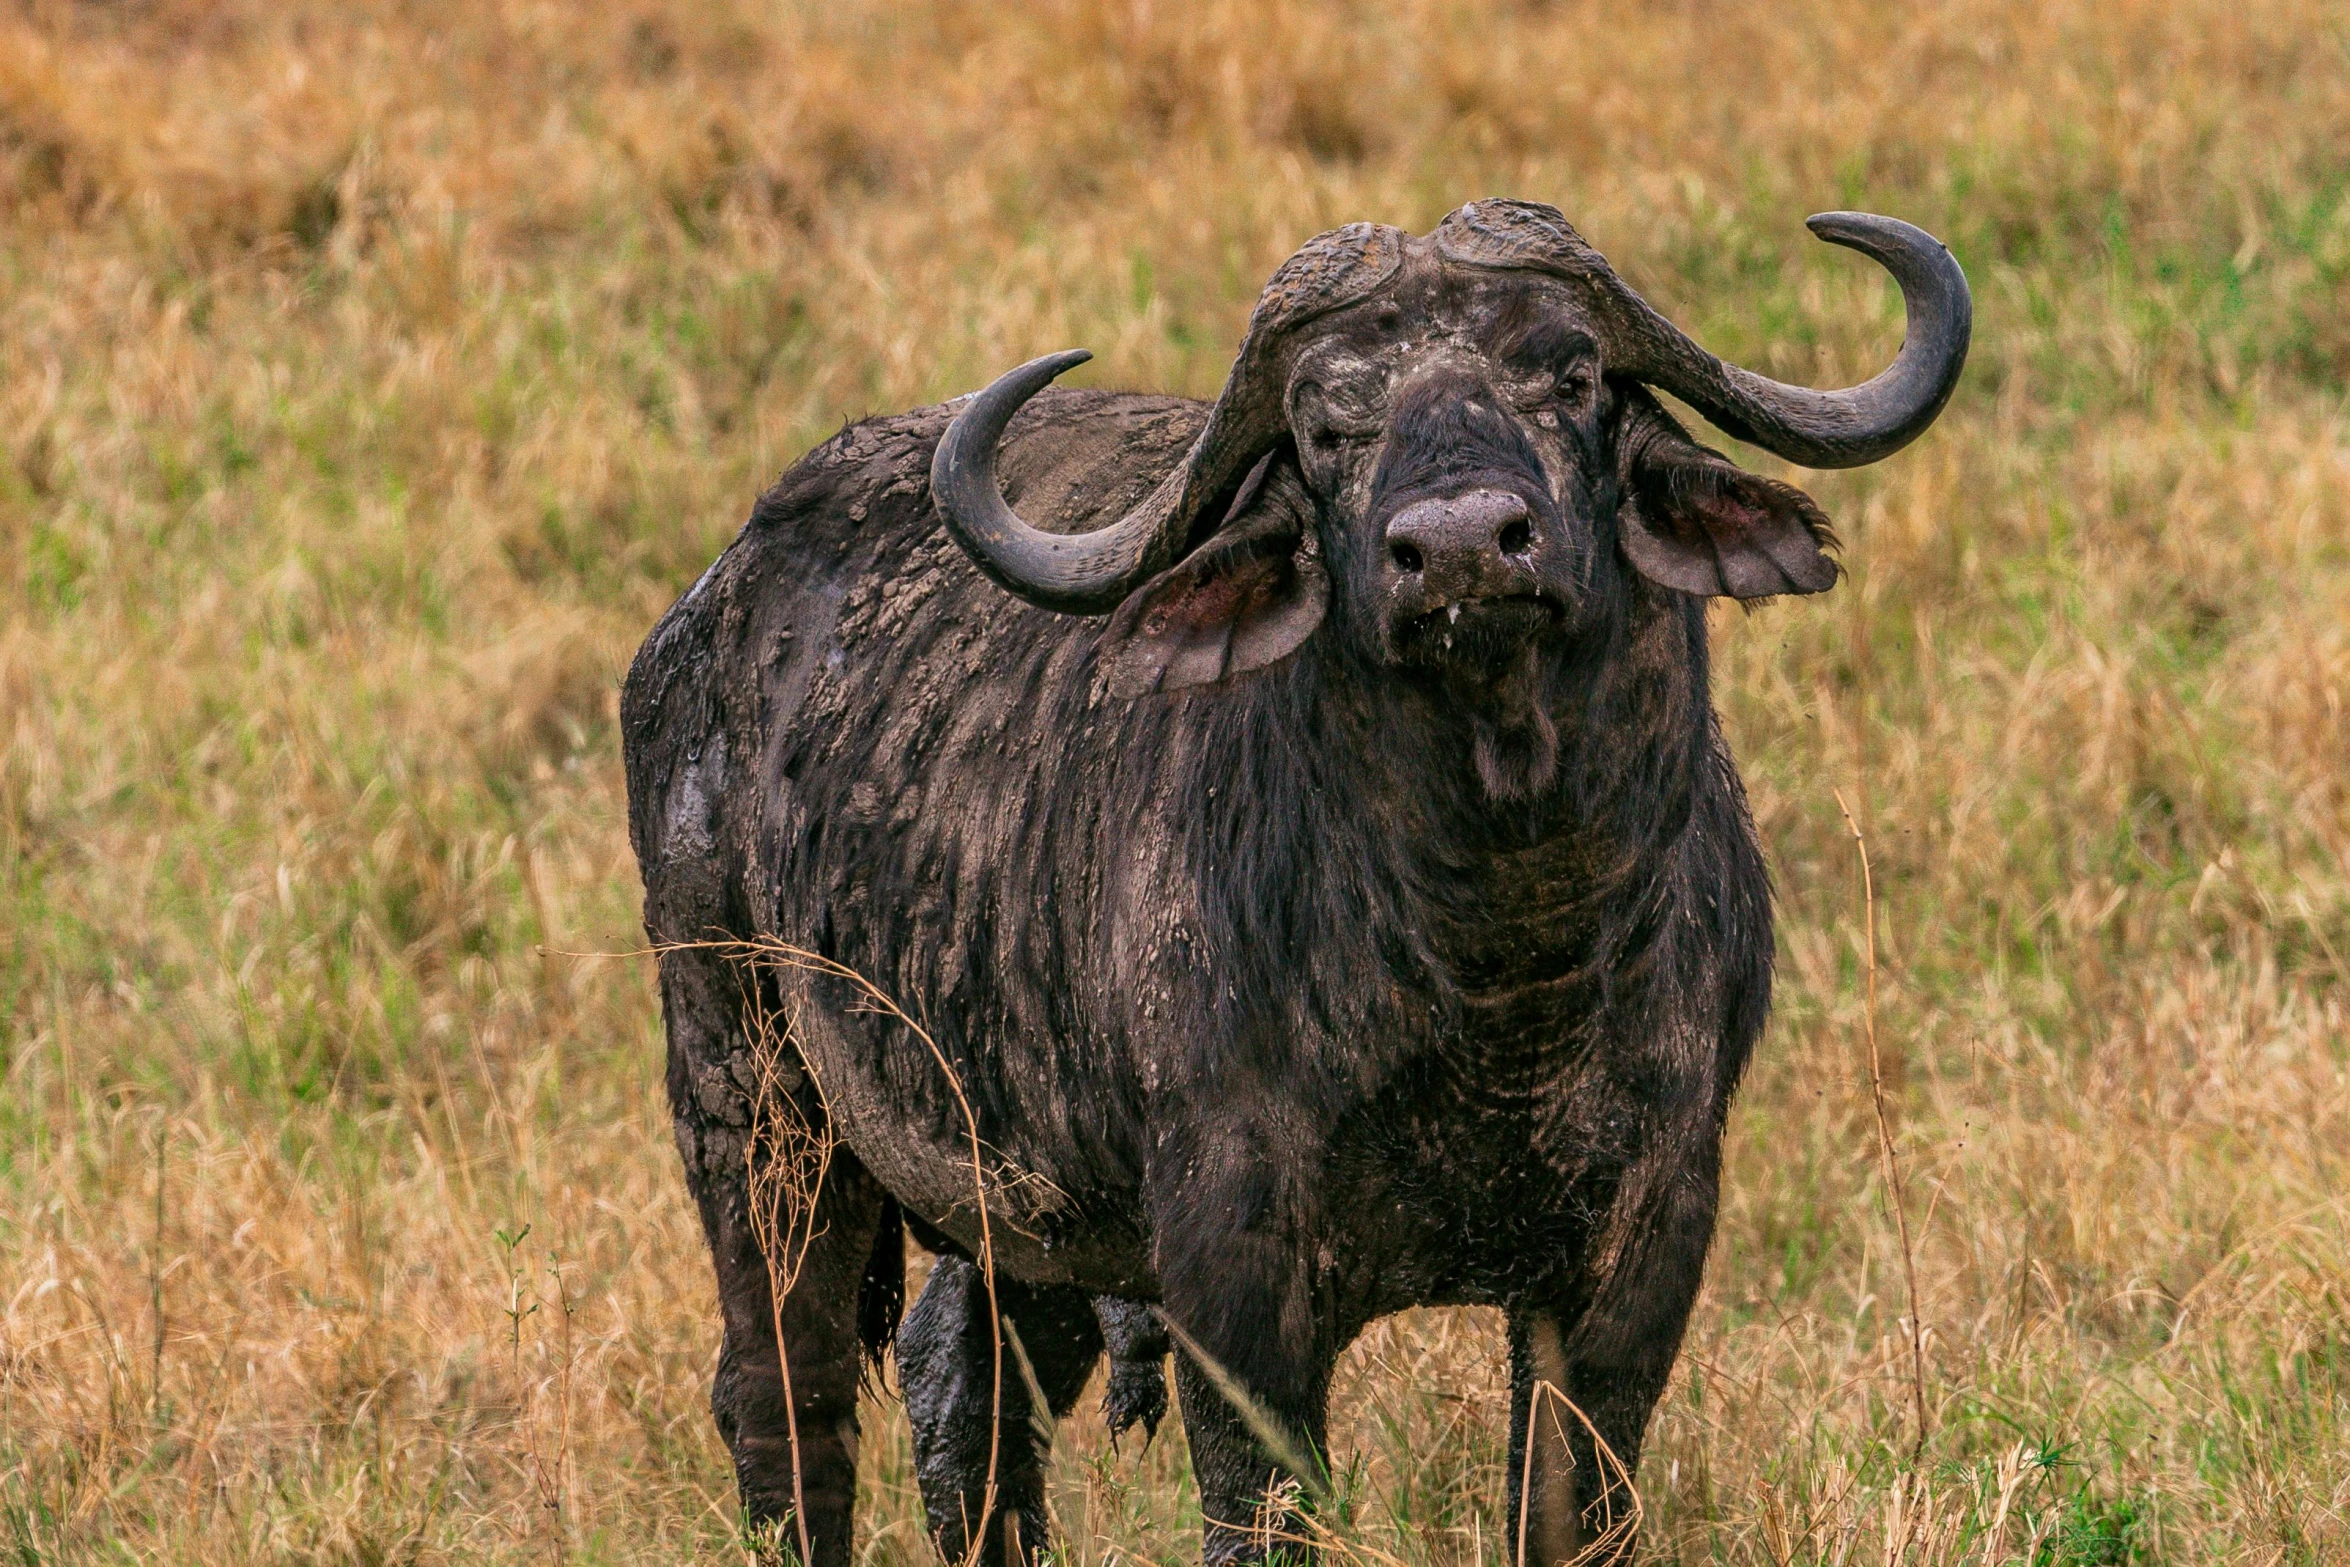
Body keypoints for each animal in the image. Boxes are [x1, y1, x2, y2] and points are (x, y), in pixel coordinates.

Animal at [625, 202, 1964, 1559]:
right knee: (786, 1392)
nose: (1462, 549)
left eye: (1571, 373)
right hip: (751, 1098)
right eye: (1325, 424)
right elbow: (1258, 1507)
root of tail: (704, 616)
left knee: (962, 1377)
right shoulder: (1232, 1274)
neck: (1498, 964)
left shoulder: (1643, 1243)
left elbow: (1569, 1501)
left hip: (1015, 1205)